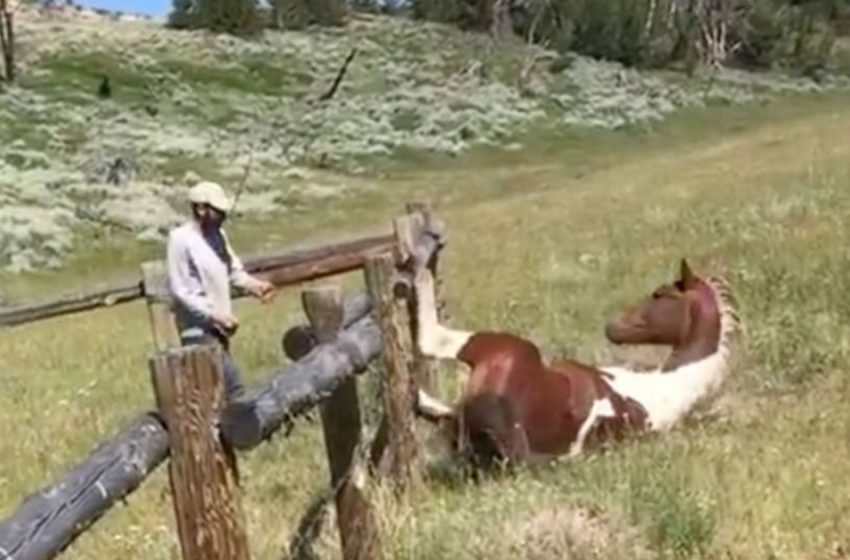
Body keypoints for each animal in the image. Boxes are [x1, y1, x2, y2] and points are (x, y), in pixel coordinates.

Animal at [410, 258, 736, 468]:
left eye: (659, 294)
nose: (613, 326)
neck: (671, 386)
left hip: (508, 348)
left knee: (430, 339)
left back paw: (419, 270)